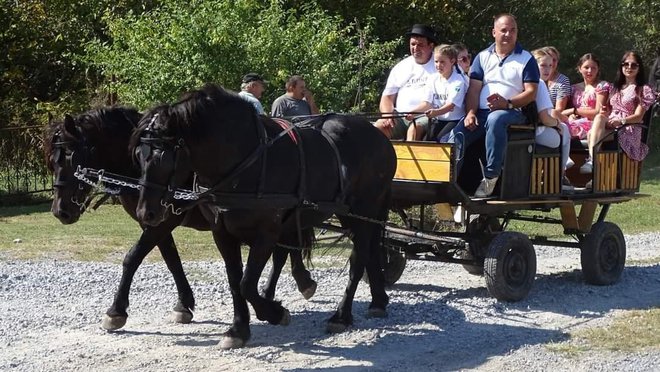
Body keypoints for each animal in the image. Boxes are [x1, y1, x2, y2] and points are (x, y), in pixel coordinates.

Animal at [43, 106, 318, 330]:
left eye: (71, 157)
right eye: (52, 162)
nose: (60, 211)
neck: (140, 169)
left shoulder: (164, 221)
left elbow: (133, 257)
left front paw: (116, 311)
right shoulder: (153, 220)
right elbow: (171, 259)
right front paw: (184, 304)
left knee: (283, 250)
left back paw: (291, 287)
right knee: (286, 248)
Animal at [131, 83, 394, 348]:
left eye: (163, 157)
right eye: (138, 156)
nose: (145, 212)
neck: (242, 161)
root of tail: (380, 137)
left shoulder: (267, 231)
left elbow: (247, 284)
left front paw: (274, 313)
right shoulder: (222, 232)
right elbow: (235, 281)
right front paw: (238, 329)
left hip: (363, 211)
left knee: (358, 258)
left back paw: (342, 315)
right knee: (370, 251)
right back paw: (378, 301)